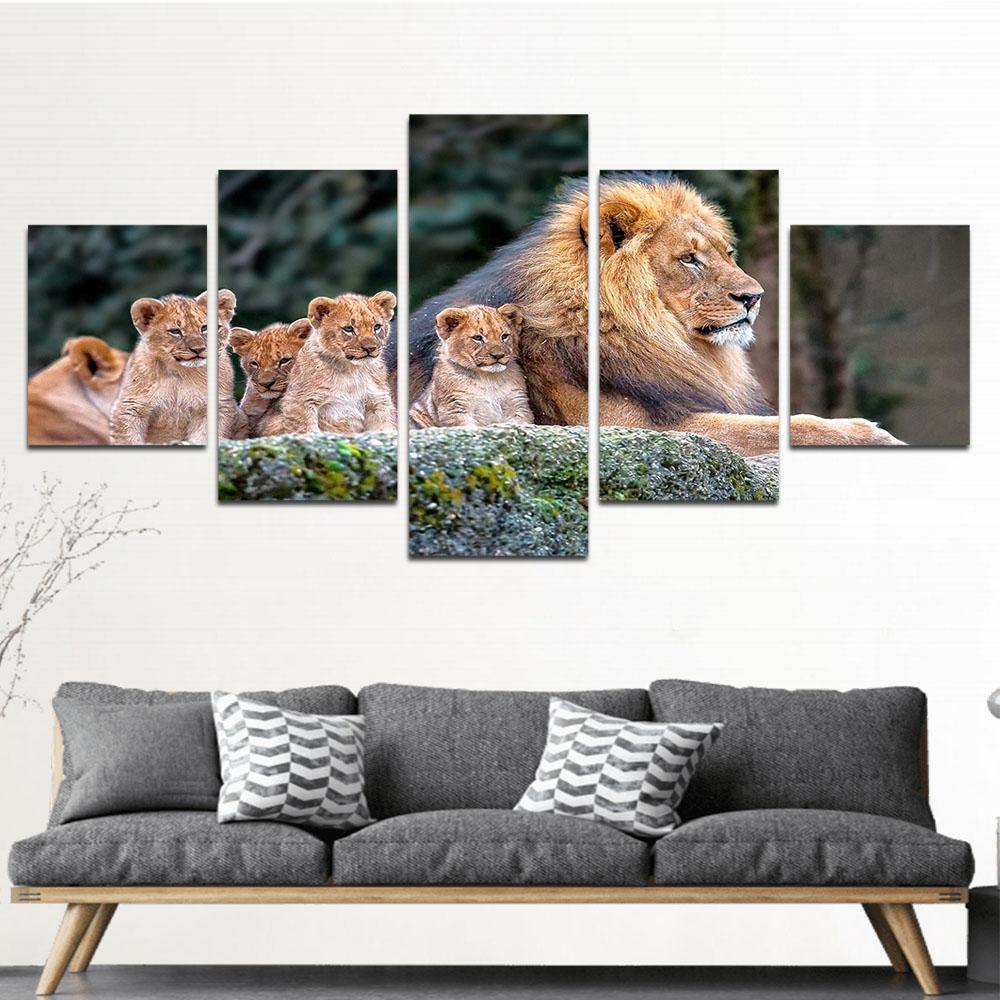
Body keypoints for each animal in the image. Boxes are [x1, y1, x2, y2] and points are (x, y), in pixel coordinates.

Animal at [110, 292, 215, 445]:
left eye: (204, 328)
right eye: (175, 331)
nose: (199, 349)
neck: (177, 372)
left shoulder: (204, 409)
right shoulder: (130, 407)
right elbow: (128, 439)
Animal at [258, 291, 397, 436]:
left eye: (377, 327)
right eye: (348, 329)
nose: (370, 348)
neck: (352, 371)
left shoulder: (378, 401)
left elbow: (384, 426)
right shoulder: (300, 401)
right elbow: (306, 429)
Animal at [396, 172, 901, 454]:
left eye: (728, 252)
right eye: (690, 259)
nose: (755, 297)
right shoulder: (632, 427)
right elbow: (776, 428)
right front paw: (873, 435)